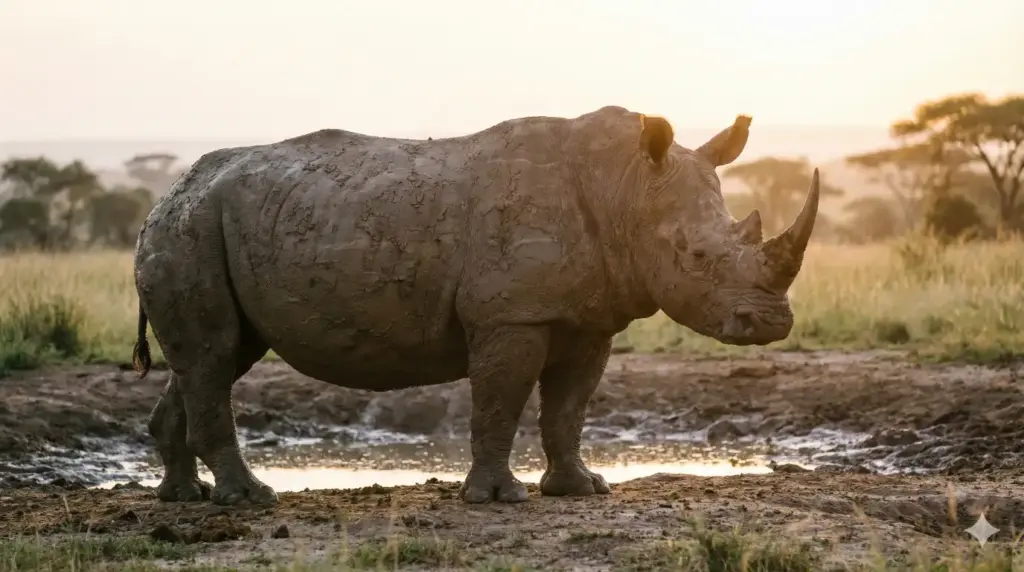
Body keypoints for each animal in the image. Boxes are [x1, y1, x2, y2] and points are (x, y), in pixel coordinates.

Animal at [131, 105, 819, 506]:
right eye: (696, 255)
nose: (772, 323)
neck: (625, 187)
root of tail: (166, 195)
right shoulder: (509, 314)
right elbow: (501, 401)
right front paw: (496, 498)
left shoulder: (589, 319)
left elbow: (568, 409)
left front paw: (580, 490)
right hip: (189, 231)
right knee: (214, 358)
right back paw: (250, 499)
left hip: (207, 225)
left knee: (214, 359)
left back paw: (182, 498)